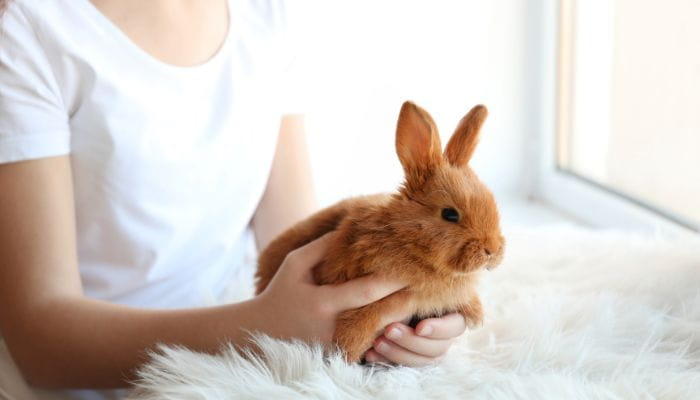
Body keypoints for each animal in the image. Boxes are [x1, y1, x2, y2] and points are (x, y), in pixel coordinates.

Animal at [256, 101, 504, 362]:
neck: (404, 237)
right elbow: (366, 317)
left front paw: (476, 315)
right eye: (450, 214)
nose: (493, 250)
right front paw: (347, 352)